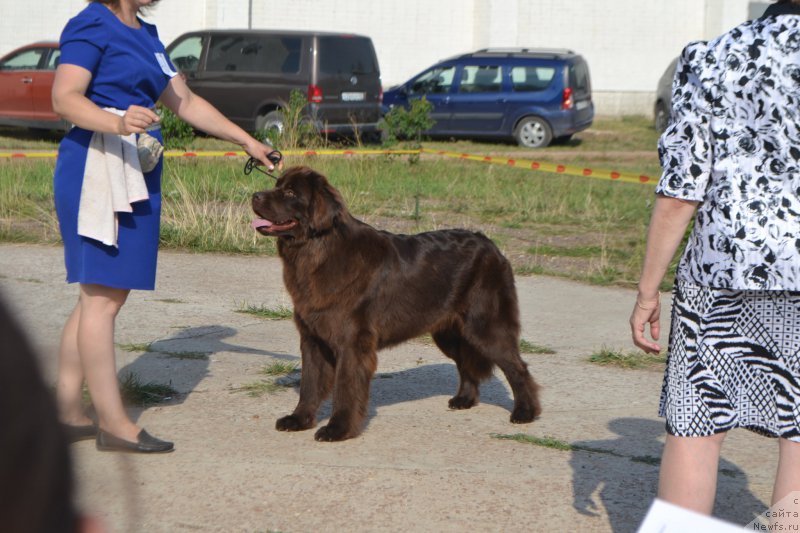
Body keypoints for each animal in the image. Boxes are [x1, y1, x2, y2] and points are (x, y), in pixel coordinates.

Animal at [252, 166, 536, 440]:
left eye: (290, 192)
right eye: (277, 185)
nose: (254, 195)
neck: (316, 249)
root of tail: (492, 246)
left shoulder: (352, 342)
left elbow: (345, 387)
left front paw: (338, 429)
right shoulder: (313, 338)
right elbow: (309, 385)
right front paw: (298, 420)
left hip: (485, 326)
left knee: (518, 367)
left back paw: (525, 412)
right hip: (449, 332)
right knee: (466, 363)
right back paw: (464, 400)